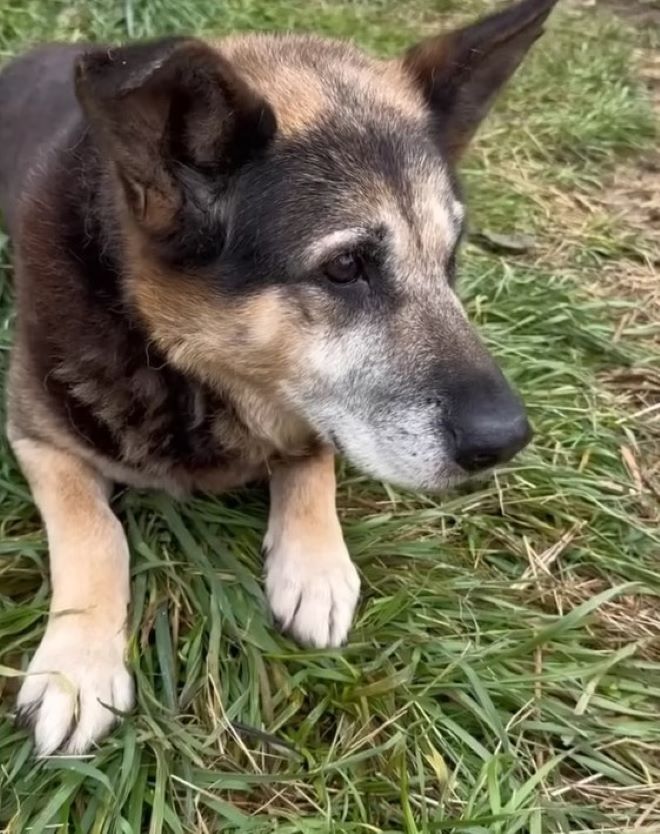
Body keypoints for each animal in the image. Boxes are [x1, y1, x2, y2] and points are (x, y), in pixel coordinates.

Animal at [0, 0, 556, 752]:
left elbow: (314, 451)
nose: (507, 441)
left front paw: (315, 562)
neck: (185, 367)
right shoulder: (35, 430)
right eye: (345, 267)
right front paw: (78, 663)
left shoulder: (317, 412)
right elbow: (95, 531)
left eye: (451, 259)